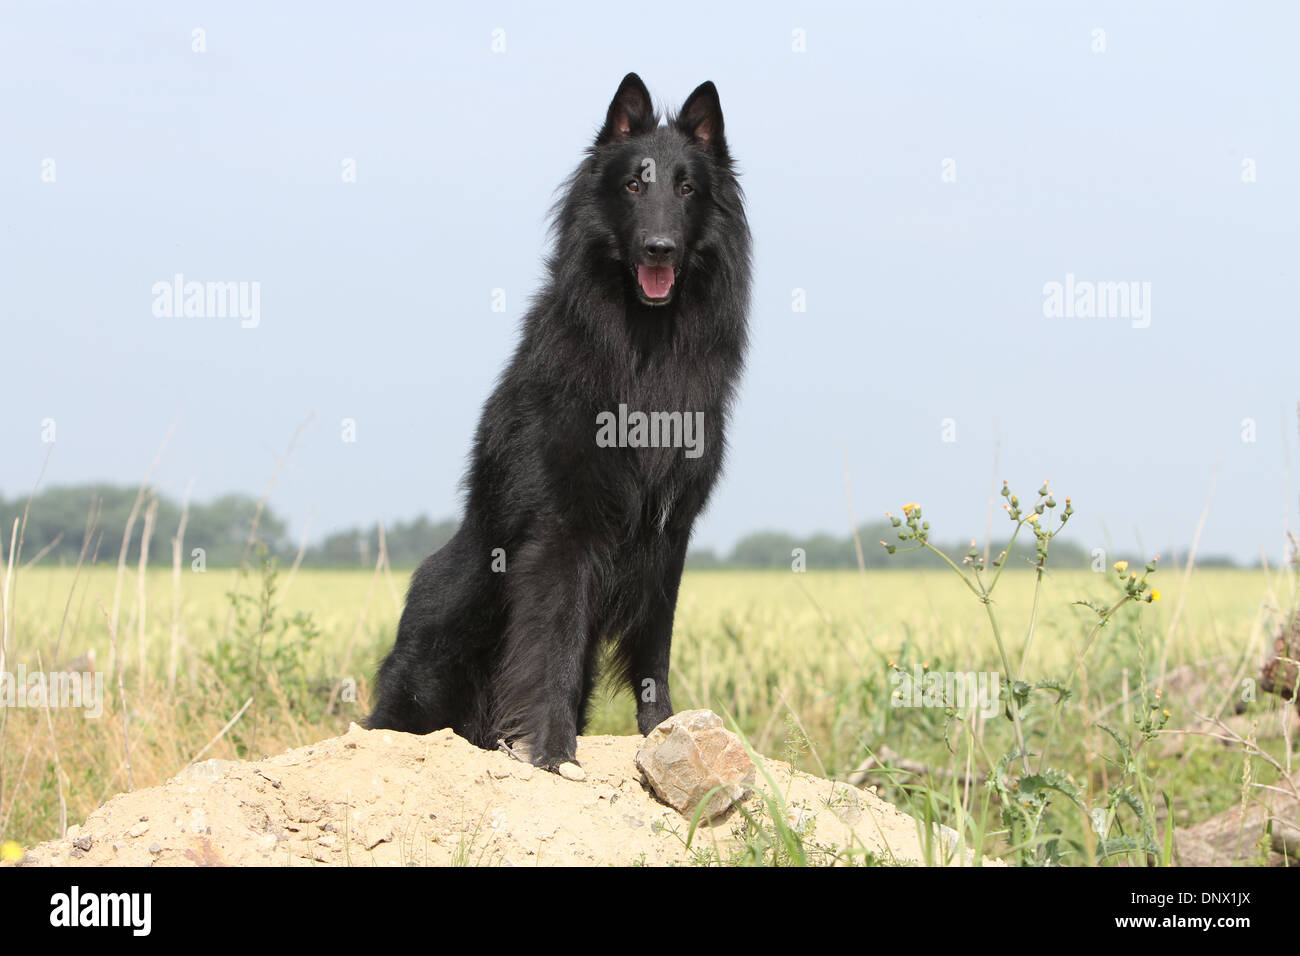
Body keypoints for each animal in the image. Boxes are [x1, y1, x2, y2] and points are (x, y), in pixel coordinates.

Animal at [366, 76, 754, 780]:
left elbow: (654, 648)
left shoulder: (670, 533)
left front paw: (664, 732)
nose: (660, 248)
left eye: (687, 188)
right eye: (634, 186)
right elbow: (552, 646)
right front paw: (550, 751)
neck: (644, 344)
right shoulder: (562, 532)